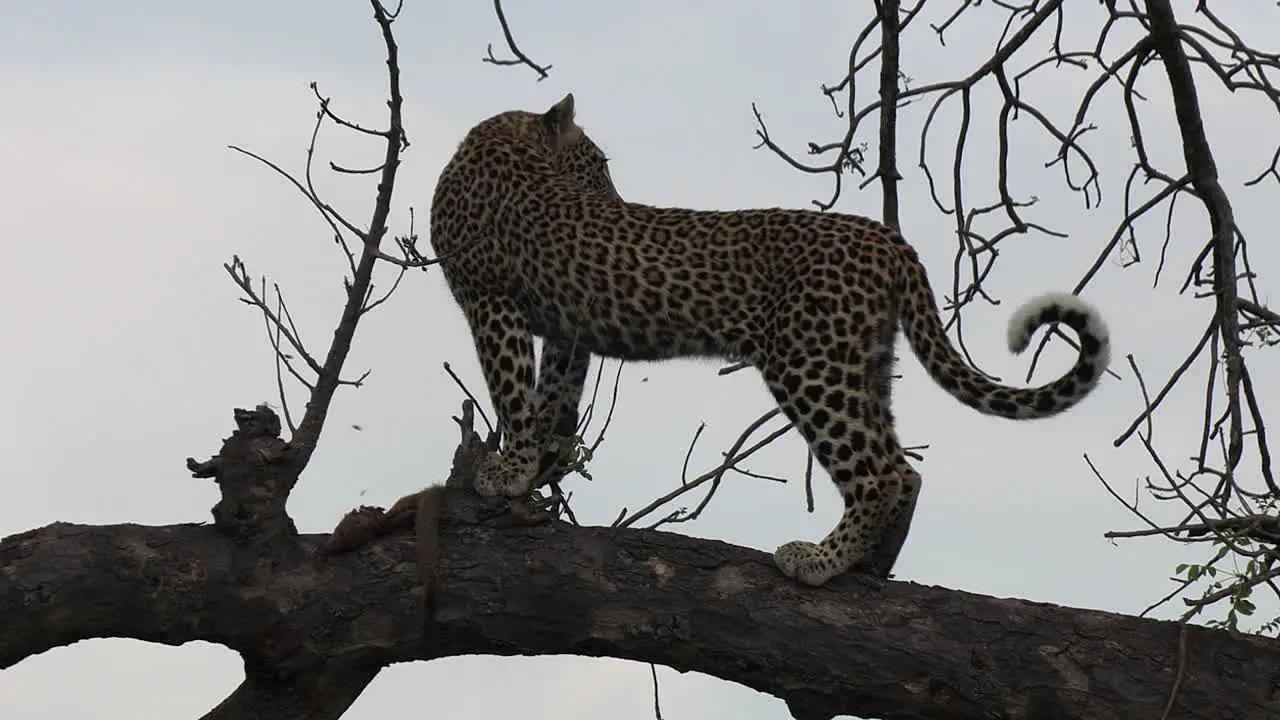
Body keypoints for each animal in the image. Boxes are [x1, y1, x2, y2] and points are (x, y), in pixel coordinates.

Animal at [430, 94, 1111, 584]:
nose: (617, 198)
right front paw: (537, 468)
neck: (500, 142)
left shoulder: (491, 301)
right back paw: (869, 563)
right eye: (597, 166)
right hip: (860, 360)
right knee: (904, 469)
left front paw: (507, 471)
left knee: (880, 473)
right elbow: (549, 399)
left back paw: (819, 561)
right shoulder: (562, 329)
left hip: (808, 361)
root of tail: (887, 238)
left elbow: (512, 390)